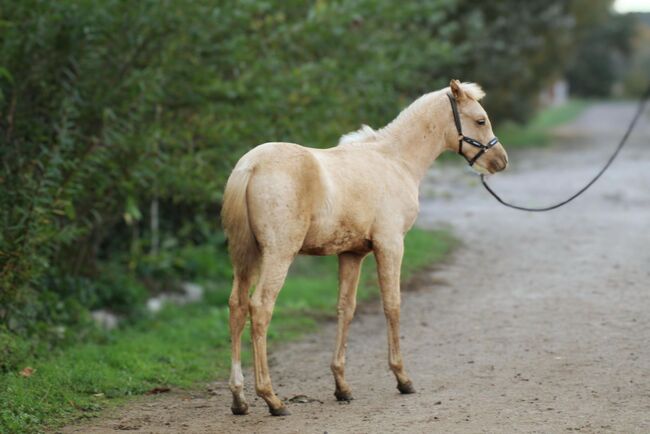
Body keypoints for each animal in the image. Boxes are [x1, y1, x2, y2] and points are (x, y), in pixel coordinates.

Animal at [221, 79, 506, 416]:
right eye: (480, 120)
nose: (500, 161)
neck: (394, 160)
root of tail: (250, 166)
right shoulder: (391, 244)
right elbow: (392, 305)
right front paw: (402, 378)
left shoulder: (351, 254)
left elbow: (346, 309)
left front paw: (342, 386)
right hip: (278, 254)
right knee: (260, 307)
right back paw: (272, 399)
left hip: (246, 257)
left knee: (237, 307)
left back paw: (239, 399)